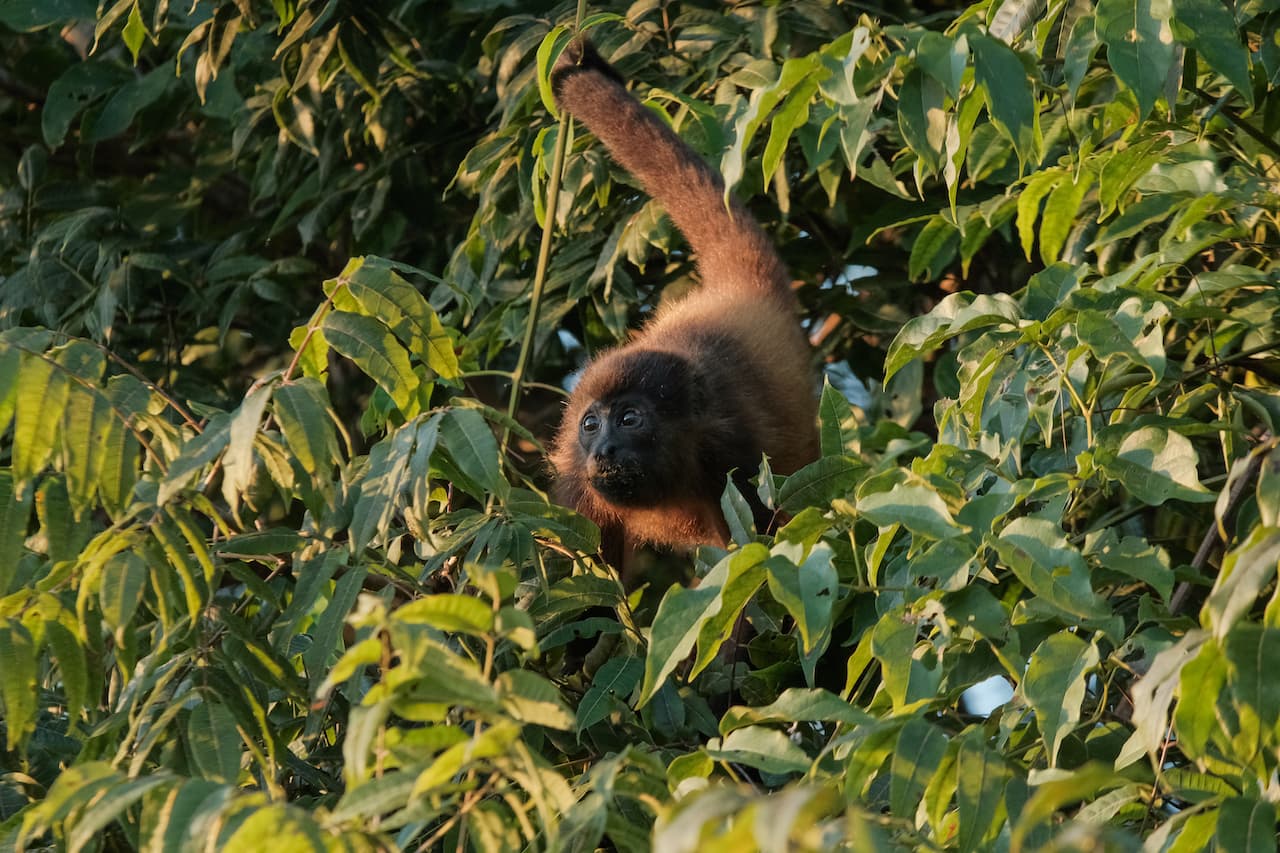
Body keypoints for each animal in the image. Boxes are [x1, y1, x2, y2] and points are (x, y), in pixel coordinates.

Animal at [548, 38, 819, 566]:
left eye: (629, 419)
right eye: (590, 425)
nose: (603, 450)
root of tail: (740, 291)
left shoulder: (736, 455)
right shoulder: (576, 476)